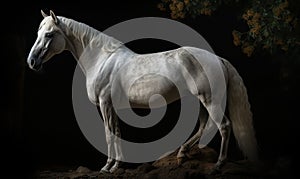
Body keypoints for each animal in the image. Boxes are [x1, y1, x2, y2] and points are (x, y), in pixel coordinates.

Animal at [27, 10, 258, 173]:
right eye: (38, 33)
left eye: (49, 34)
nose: (32, 61)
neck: (102, 60)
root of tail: (217, 58)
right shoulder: (112, 106)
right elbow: (117, 133)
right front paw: (116, 166)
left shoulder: (105, 104)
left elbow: (108, 134)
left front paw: (107, 167)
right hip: (202, 100)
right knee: (205, 126)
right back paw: (182, 153)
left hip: (209, 100)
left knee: (224, 126)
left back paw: (218, 165)